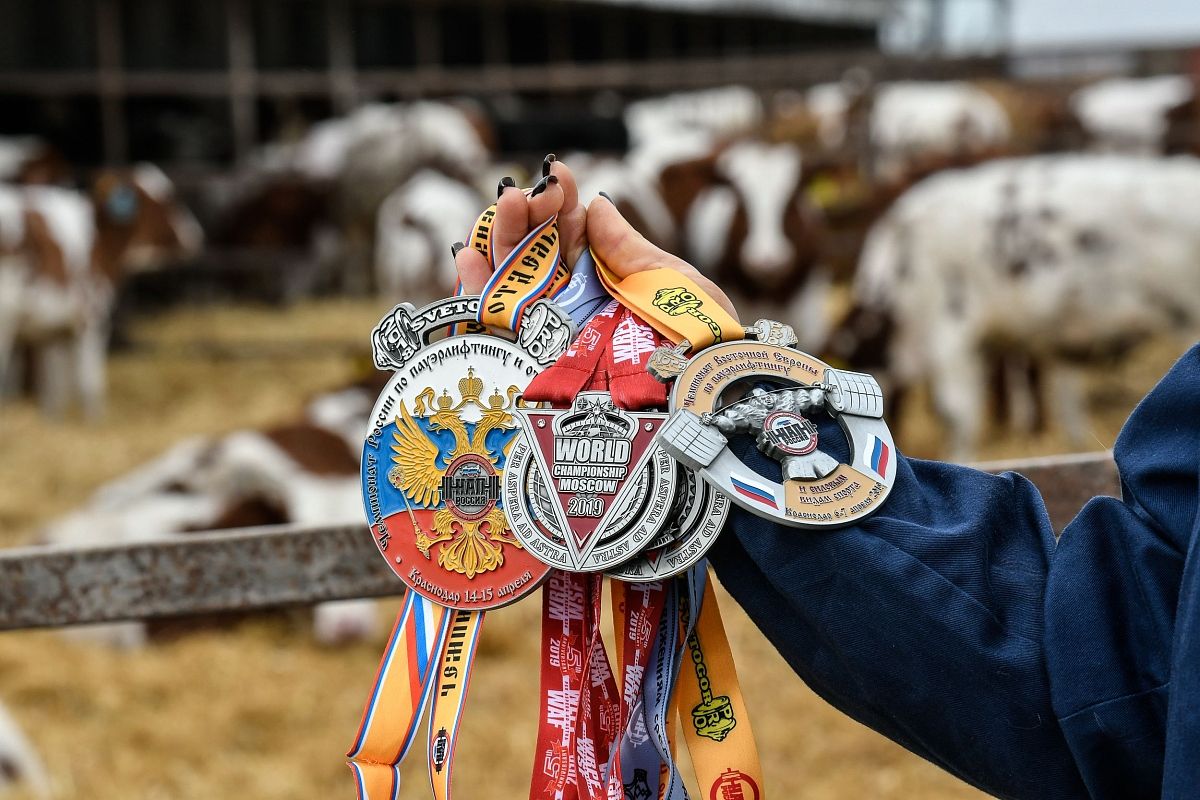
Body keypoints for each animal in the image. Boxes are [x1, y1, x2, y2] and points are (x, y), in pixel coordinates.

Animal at [0, 167, 201, 419]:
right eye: (169, 199)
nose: (195, 236)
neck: (98, 239)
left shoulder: (54, 331)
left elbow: (54, 390)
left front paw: (54, 421)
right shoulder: (92, 317)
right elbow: (89, 382)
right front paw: (94, 421)